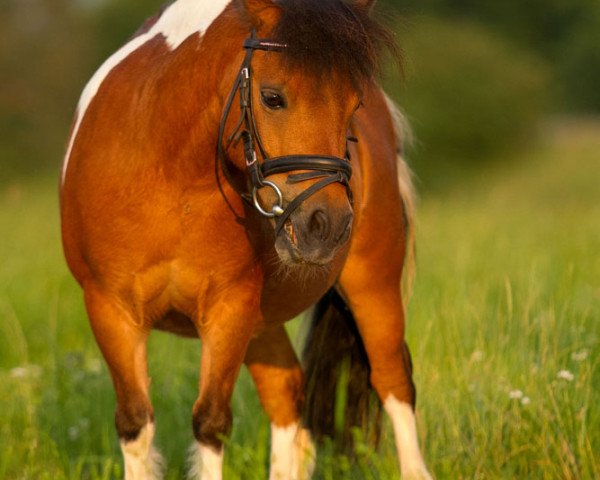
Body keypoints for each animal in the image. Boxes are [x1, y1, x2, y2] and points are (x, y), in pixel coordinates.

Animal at [59, 0, 432, 480]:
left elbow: (210, 423)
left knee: (391, 381)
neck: (170, 174)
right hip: (265, 323)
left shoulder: (229, 310)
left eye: (354, 103)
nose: (327, 226)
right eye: (272, 97)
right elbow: (135, 425)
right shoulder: (111, 311)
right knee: (287, 391)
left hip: (373, 284)